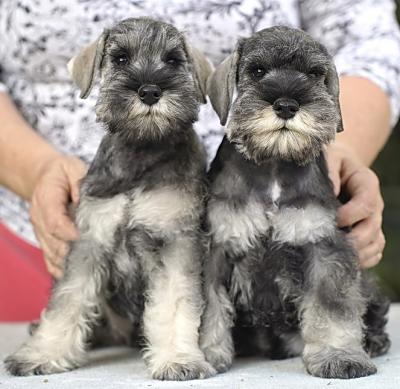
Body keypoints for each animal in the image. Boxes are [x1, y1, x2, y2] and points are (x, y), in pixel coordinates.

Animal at [3, 17, 216, 378]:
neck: (141, 150)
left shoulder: (174, 240)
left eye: (173, 60)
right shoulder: (90, 240)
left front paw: (177, 358)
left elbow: (175, 300)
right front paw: (44, 353)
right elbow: (69, 299)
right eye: (120, 58)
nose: (149, 91)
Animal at [202, 25, 390, 378]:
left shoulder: (323, 246)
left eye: (315, 74)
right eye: (257, 71)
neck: (275, 161)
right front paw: (199, 354)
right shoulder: (217, 245)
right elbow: (206, 306)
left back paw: (373, 340)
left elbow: (332, 305)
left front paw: (338, 355)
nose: (287, 105)